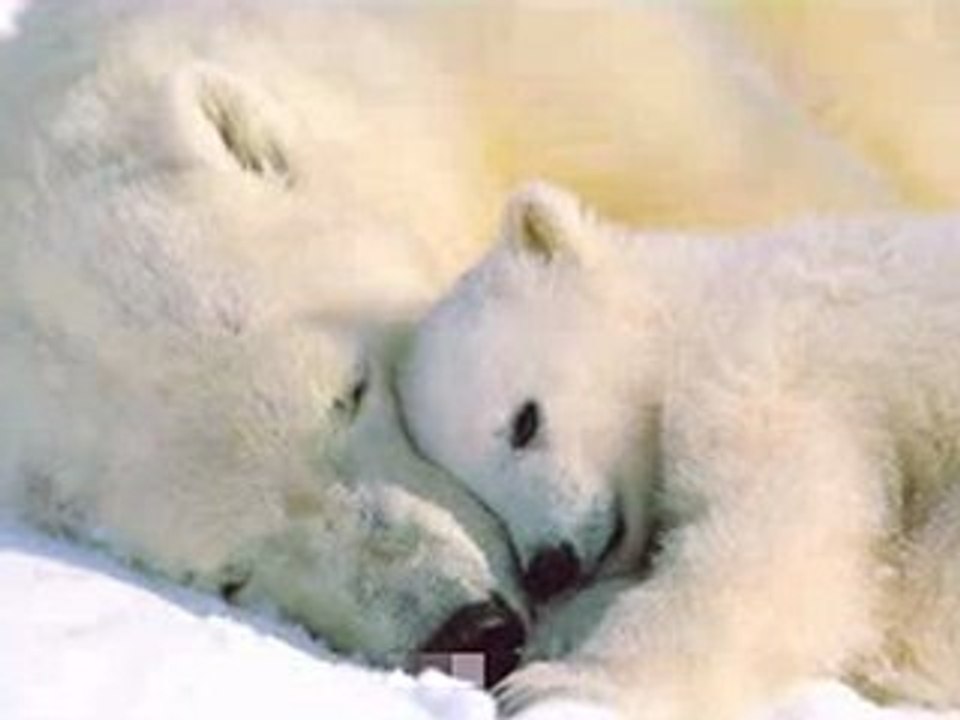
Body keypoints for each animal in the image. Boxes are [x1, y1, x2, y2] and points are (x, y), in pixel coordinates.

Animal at [398, 181, 960, 718]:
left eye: (524, 421)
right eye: (478, 493)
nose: (549, 566)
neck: (693, 310)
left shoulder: (763, 370)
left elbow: (778, 538)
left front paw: (557, 685)